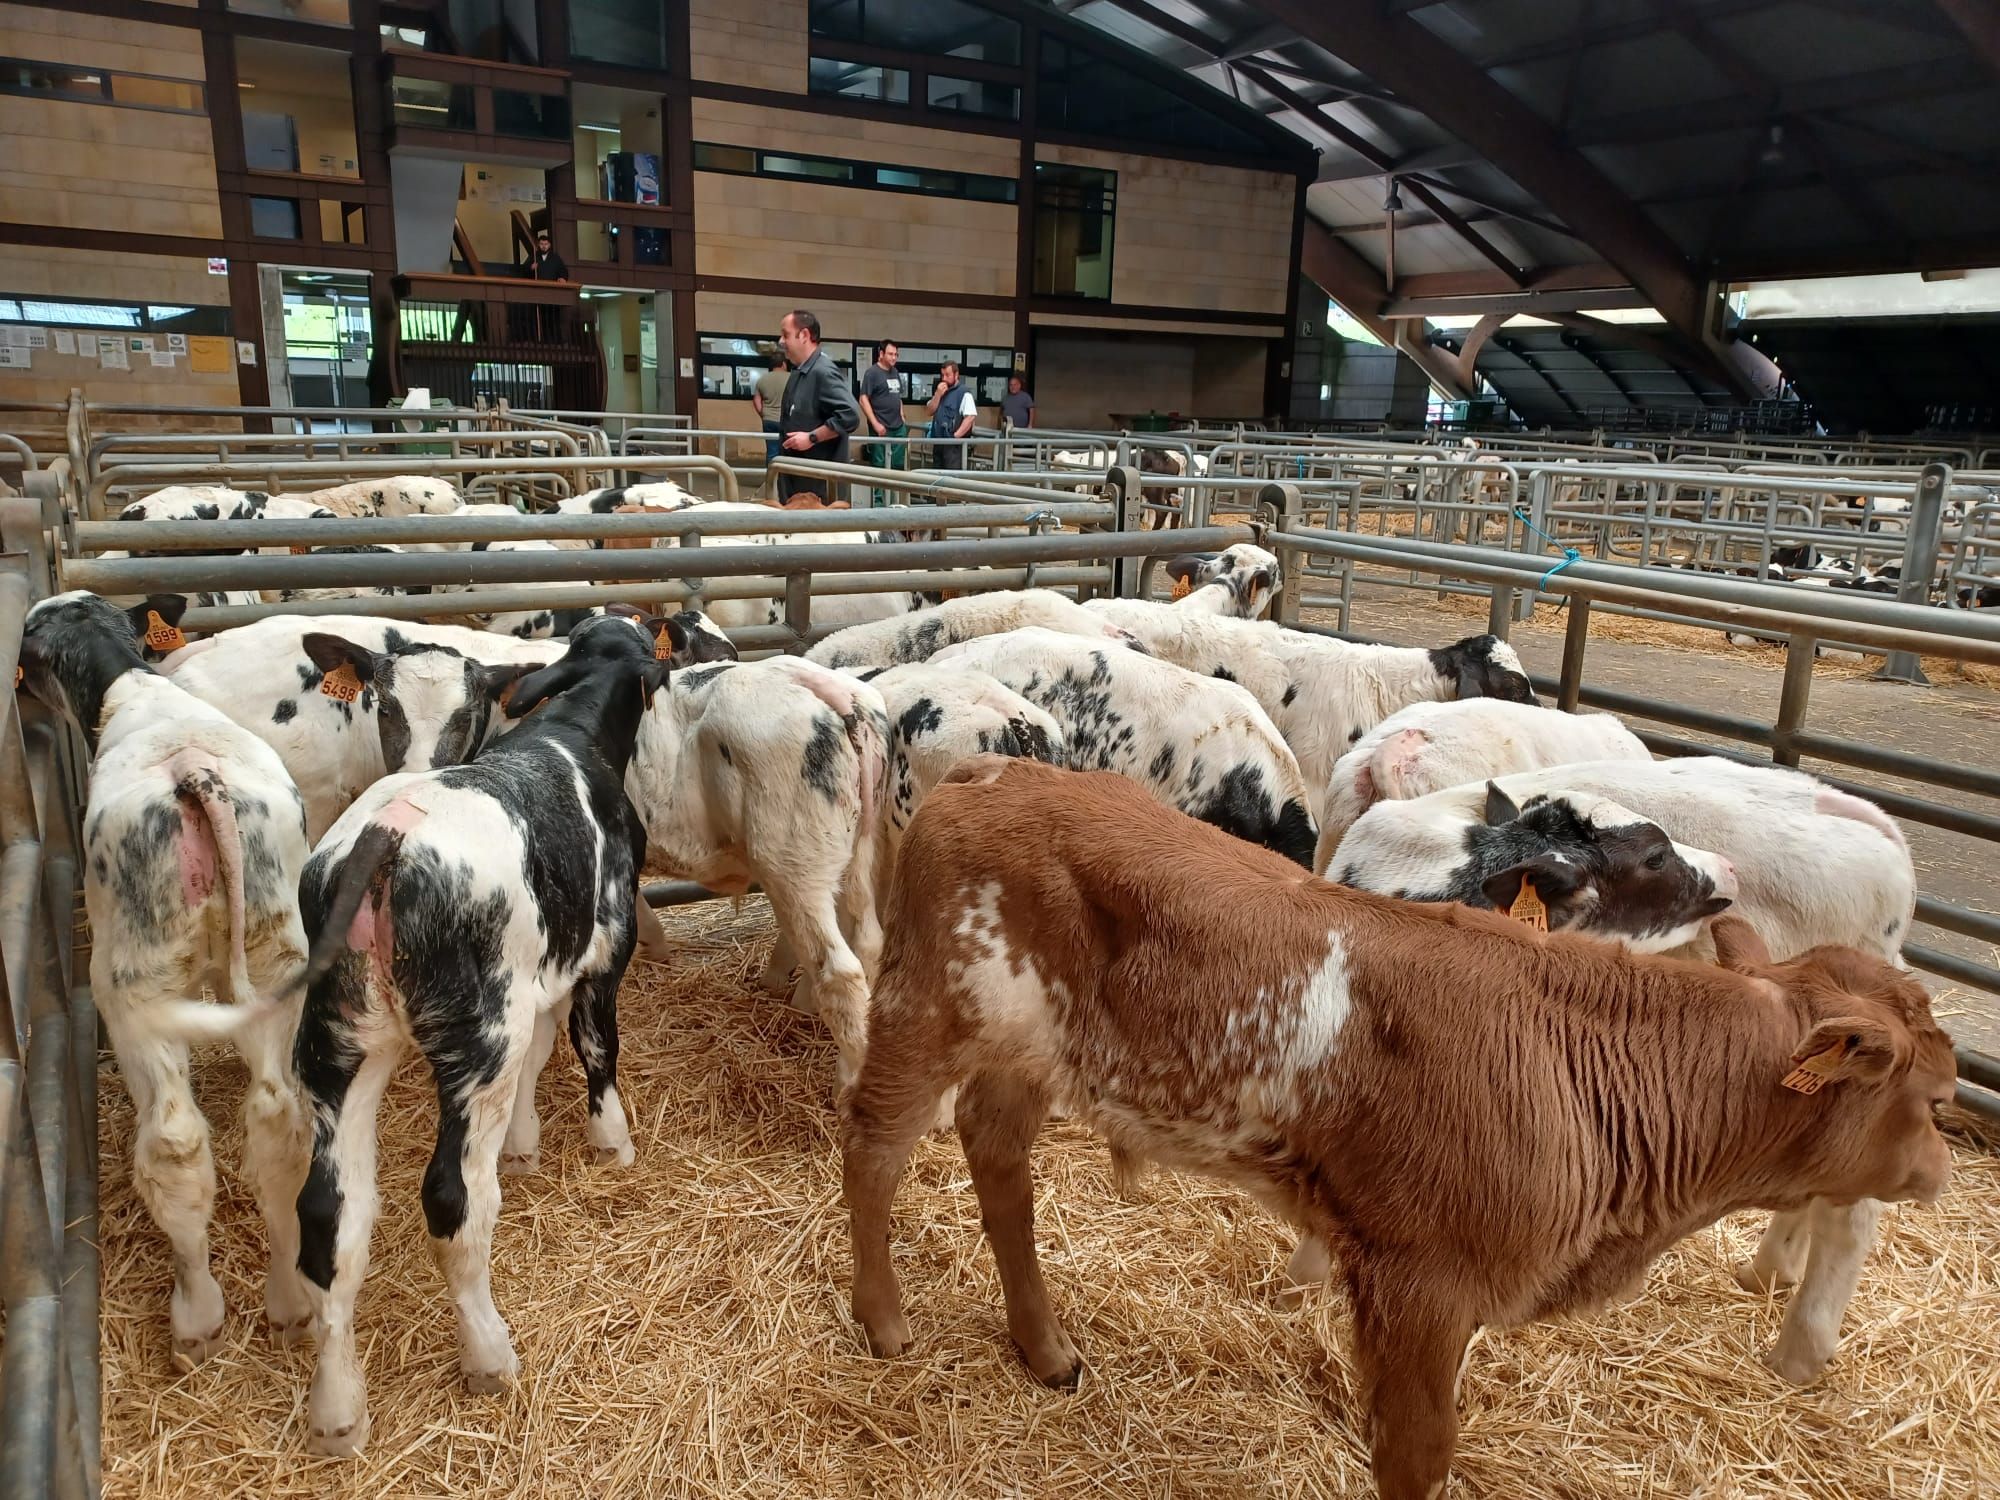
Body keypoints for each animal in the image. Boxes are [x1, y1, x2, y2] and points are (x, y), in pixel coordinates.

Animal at [16, 592, 312, 1368]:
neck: (136, 688)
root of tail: (194, 776)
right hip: (276, 954)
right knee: (280, 1120)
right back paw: (290, 1301)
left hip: (134, 990)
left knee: (176, 1142)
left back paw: (197, 1317)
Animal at [292, 620, 660, 1456]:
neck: (572, 731)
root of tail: (385, 839)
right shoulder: (602, 946)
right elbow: (596, 1045)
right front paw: (612, 1144)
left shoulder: (541, 970)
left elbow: (543, 1051)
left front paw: (523, 1145)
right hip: (474, 1035)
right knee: (454, 1199)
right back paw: (489, 1356)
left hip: (339, 1041)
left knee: (330, 1215)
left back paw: (337, 1409)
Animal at [840, 764, 1952, 1500]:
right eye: (1938, 1093)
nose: (1942, 1169)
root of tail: (992, 768)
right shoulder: (1419, 1284)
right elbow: (1416, 1453)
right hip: (924, 1007)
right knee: (873, 1147)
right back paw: (884, 1320)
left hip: (1032, 1054)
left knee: (999, 1163)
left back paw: (1044, 1346)